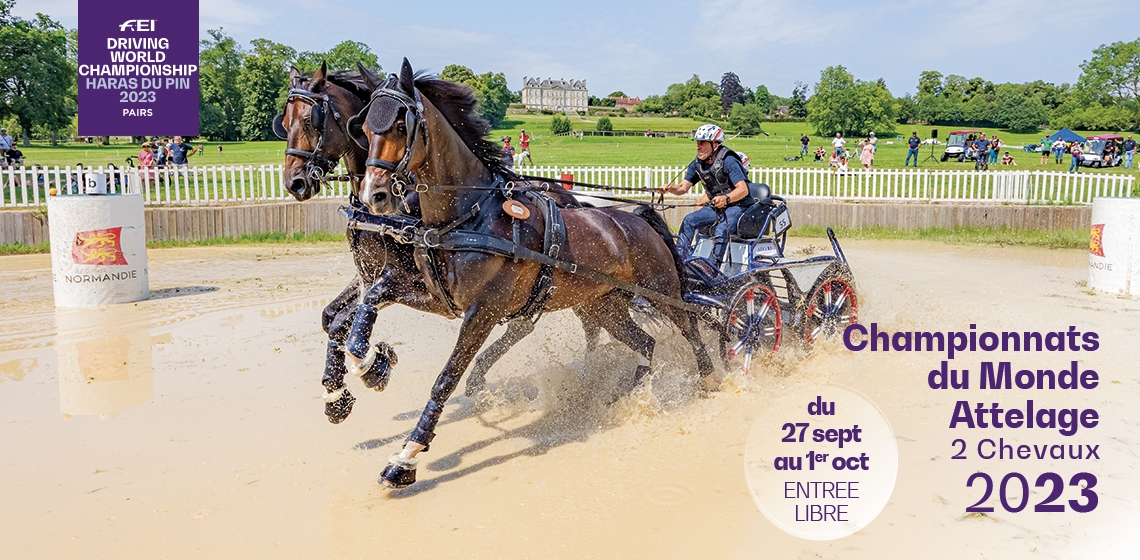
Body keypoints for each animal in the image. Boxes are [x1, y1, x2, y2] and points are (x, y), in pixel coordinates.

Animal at [274, 63, 601, 424]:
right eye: (284, 123)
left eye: (310, 120)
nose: (294, 182)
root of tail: (568, 196)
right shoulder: (373, 276)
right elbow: (332, 318)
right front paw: (337, 395)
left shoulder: (401, 277)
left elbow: (346, 321)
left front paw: (373, 366)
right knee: (529, 324)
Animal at [351, 61, 715, 488]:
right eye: (364, 127)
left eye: (400, 125)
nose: (373, 195)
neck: (471, 214)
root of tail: (638, 216)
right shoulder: (439, 298)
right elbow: (371, 297)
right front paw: (369, 364)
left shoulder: (483, 311)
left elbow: (447, 377)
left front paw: (407, 455)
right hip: (602, 306)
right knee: (645, 343)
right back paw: (619, 396)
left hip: (662, 291)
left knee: (691, 328)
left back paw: (711, 380)